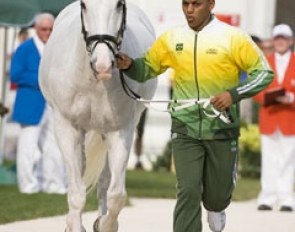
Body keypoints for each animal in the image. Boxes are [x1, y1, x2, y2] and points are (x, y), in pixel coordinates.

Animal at [40, 0, 158, 231]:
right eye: (84, 5)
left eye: (119, 4)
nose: (103, 64)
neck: (92, 81)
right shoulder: (67, 129)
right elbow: (76, 193)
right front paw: (75, 226)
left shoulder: (120, 131)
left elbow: (116, 195)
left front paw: (103, 224)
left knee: (105, 182)